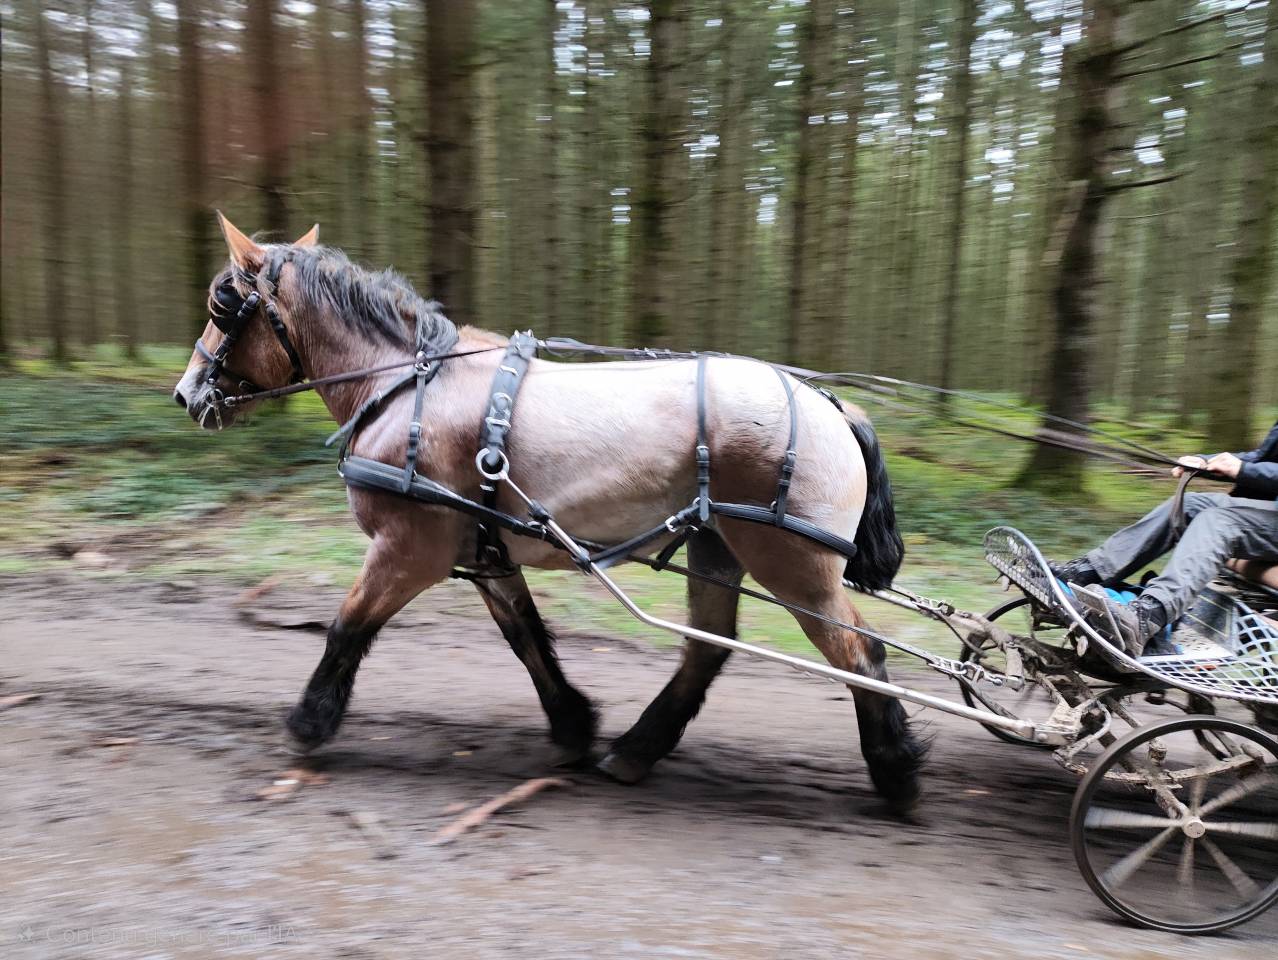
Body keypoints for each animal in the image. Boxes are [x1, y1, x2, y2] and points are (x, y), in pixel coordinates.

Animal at [173, 213, 927, 812]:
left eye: (222, 306)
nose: (187, 392)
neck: (406, 385)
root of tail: (830, 405)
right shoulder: (486, 549)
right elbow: (527, 637)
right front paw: (571, 725)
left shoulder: (408, 548)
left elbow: (348, 626)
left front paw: (308, 721)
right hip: (720, 549)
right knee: (708, 648)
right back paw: (635, 749)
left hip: (791, 561)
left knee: (859, 652)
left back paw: (896, 774)